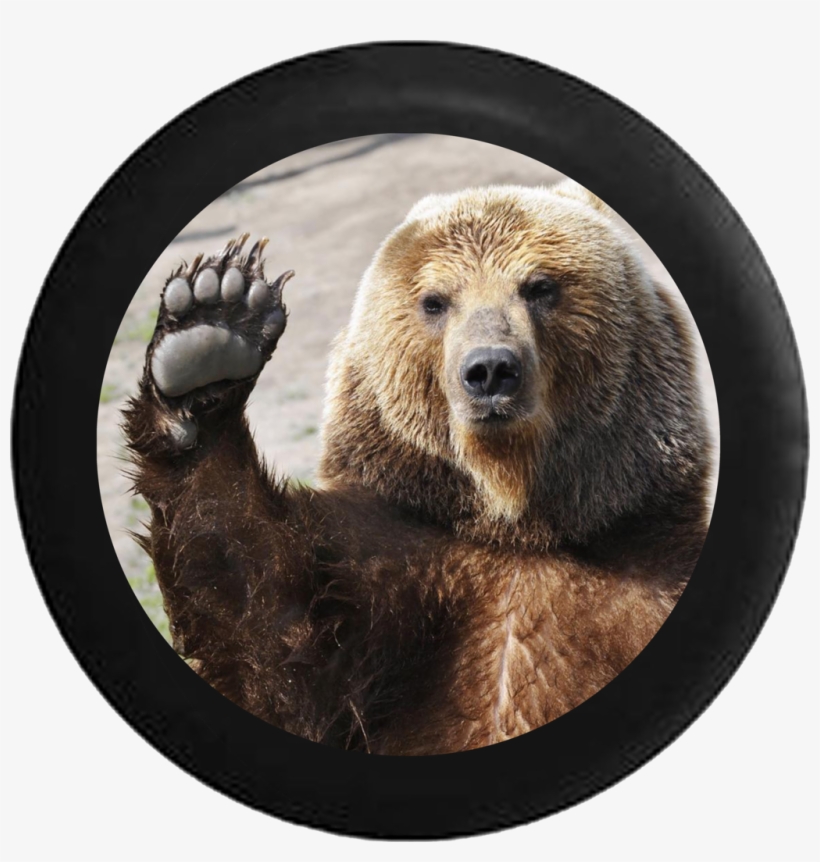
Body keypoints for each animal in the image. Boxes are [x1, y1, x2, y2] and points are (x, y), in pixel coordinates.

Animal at [123, 181, 712, 755]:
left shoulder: (642, 580)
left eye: (540, 286)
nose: (491, 369)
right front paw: (211, 329)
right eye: (435, 301)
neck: (516, 521)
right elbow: (266, 628)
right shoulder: (388, 576)